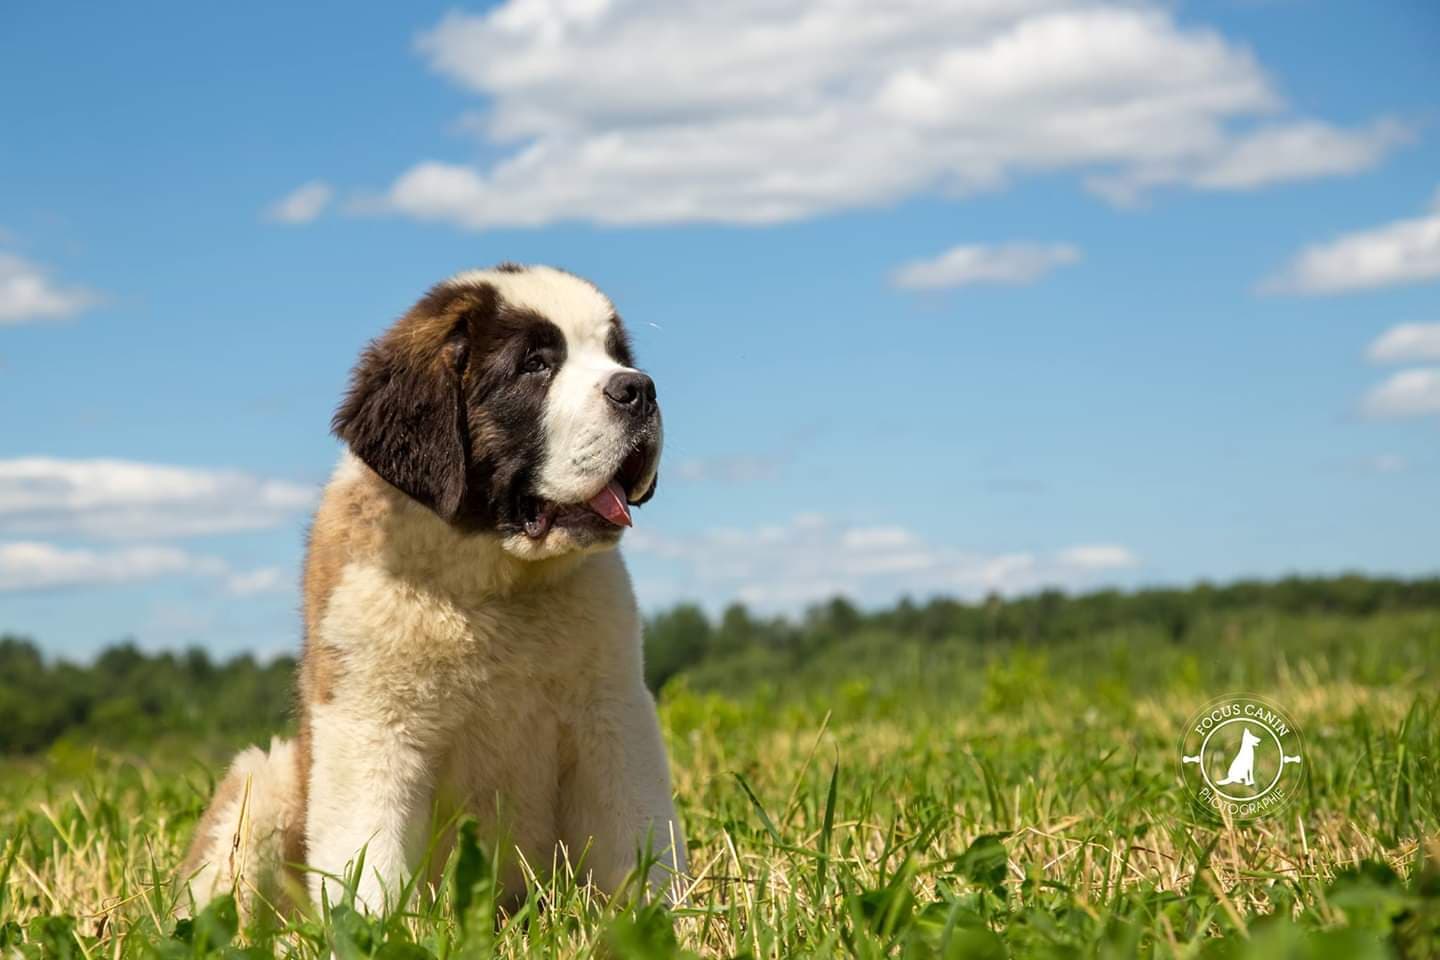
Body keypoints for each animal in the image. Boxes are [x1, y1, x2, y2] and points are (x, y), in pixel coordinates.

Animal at [178, 266, 685, 921]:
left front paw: (666, 917)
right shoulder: (369, 723)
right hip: (263, 783)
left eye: (617, 356)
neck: (494, 584)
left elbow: (639, 827)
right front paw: (373, 929)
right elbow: (367, 854)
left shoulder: (614, 712)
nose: (639, 389)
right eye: (535, 365)